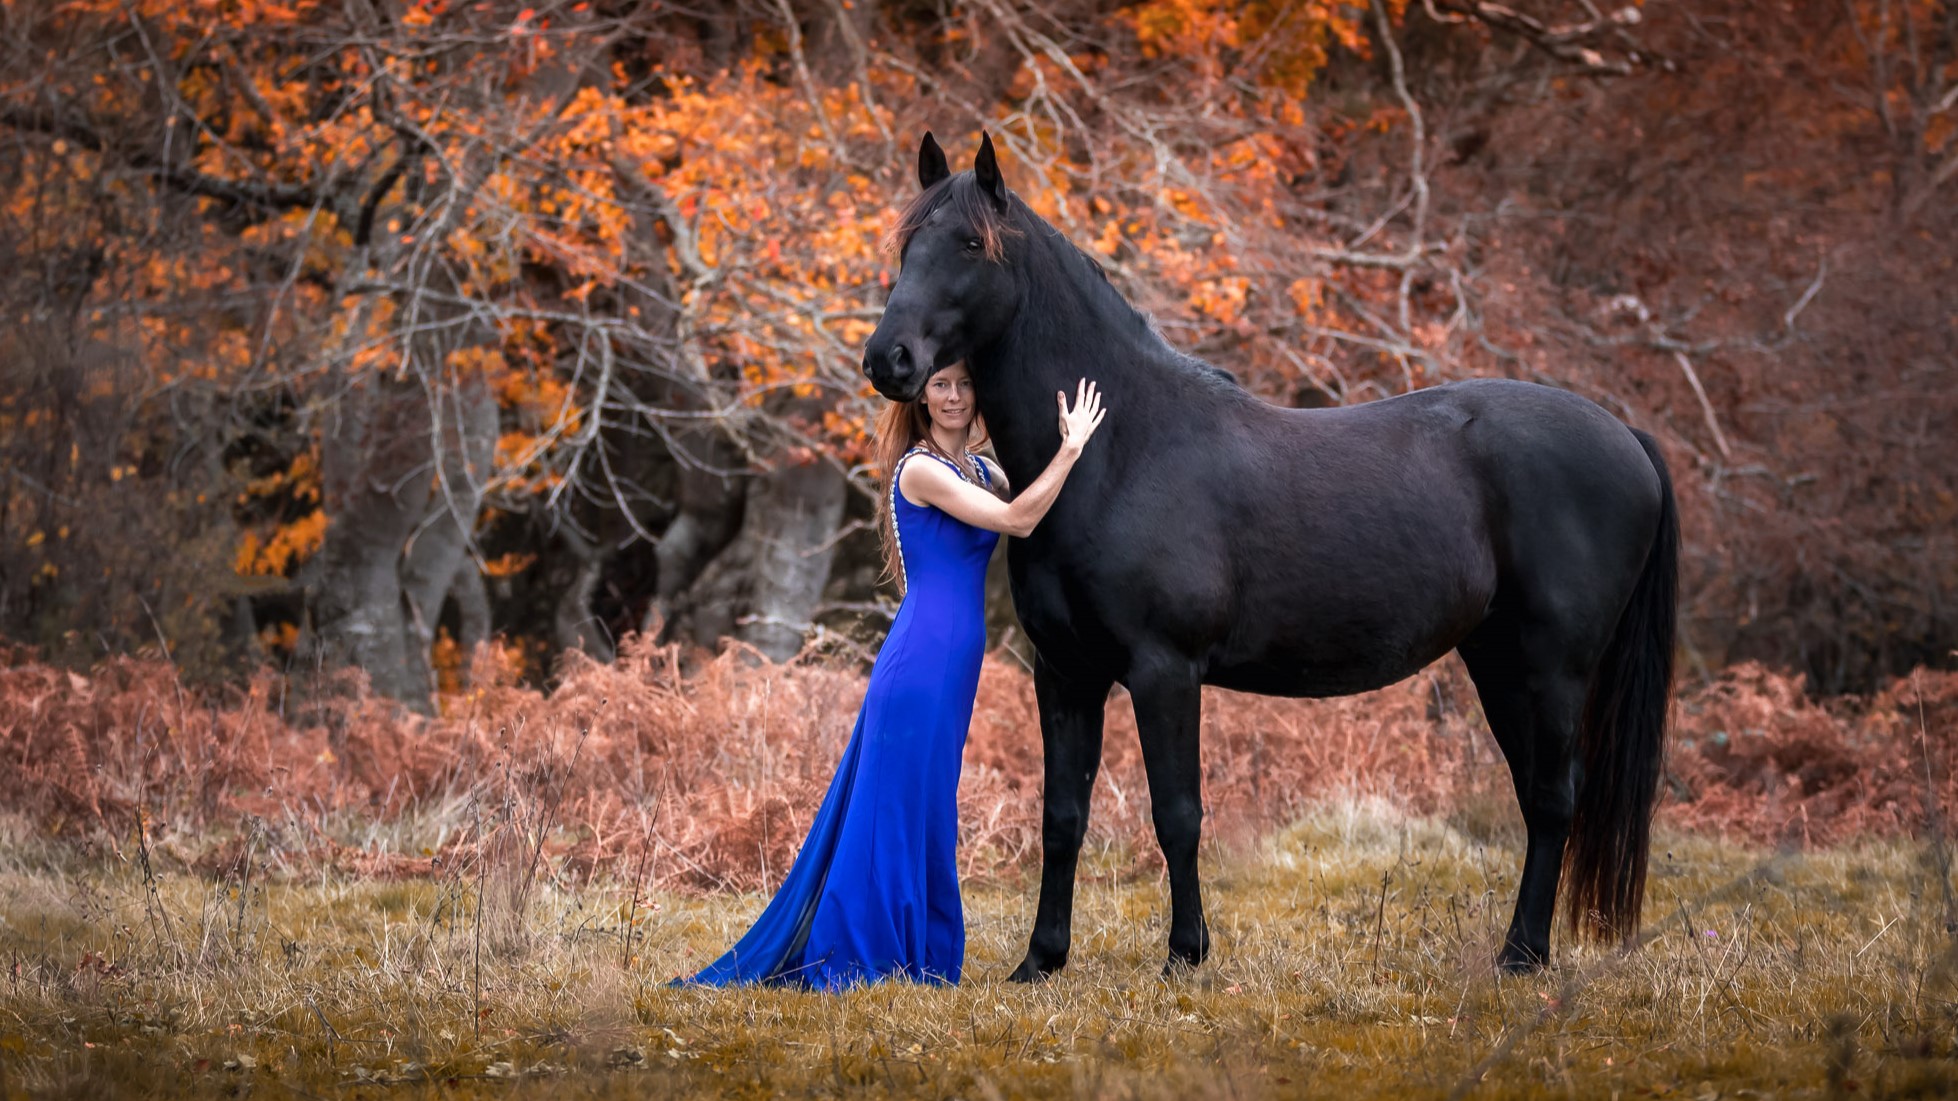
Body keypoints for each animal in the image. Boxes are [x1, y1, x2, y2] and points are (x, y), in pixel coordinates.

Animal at [861, 132, 1678, 981]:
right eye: (905, 244)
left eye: (969, 244)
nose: (888, 359)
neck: (1117, 451)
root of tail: (1628, 438)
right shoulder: (1065, 673)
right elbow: (1063, 814)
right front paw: (1040, 960)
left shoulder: (1164, 669)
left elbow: (1177, 813)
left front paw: (1185, 954)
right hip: (1501, 663)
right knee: (1538, 797)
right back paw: (1523, 951)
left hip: (1555, 670)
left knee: (1553, 799)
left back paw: (1520, 956)